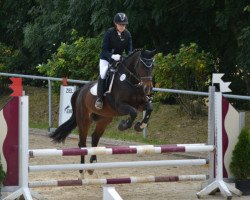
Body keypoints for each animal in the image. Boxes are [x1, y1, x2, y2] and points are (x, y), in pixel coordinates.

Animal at [49, 49, 156, 177]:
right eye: (141, 66)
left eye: (152, 66)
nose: (148, 89)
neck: (130, 81)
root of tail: (80, 91)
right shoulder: (119, 105)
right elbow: (133, 112)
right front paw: (123, 125)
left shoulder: (140, 104)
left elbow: (149, 108)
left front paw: (140, 126)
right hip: (84, 120)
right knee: (82, 144)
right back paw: (82, 170)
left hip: (104, 119)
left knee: (94, 138)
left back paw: (92, 164)